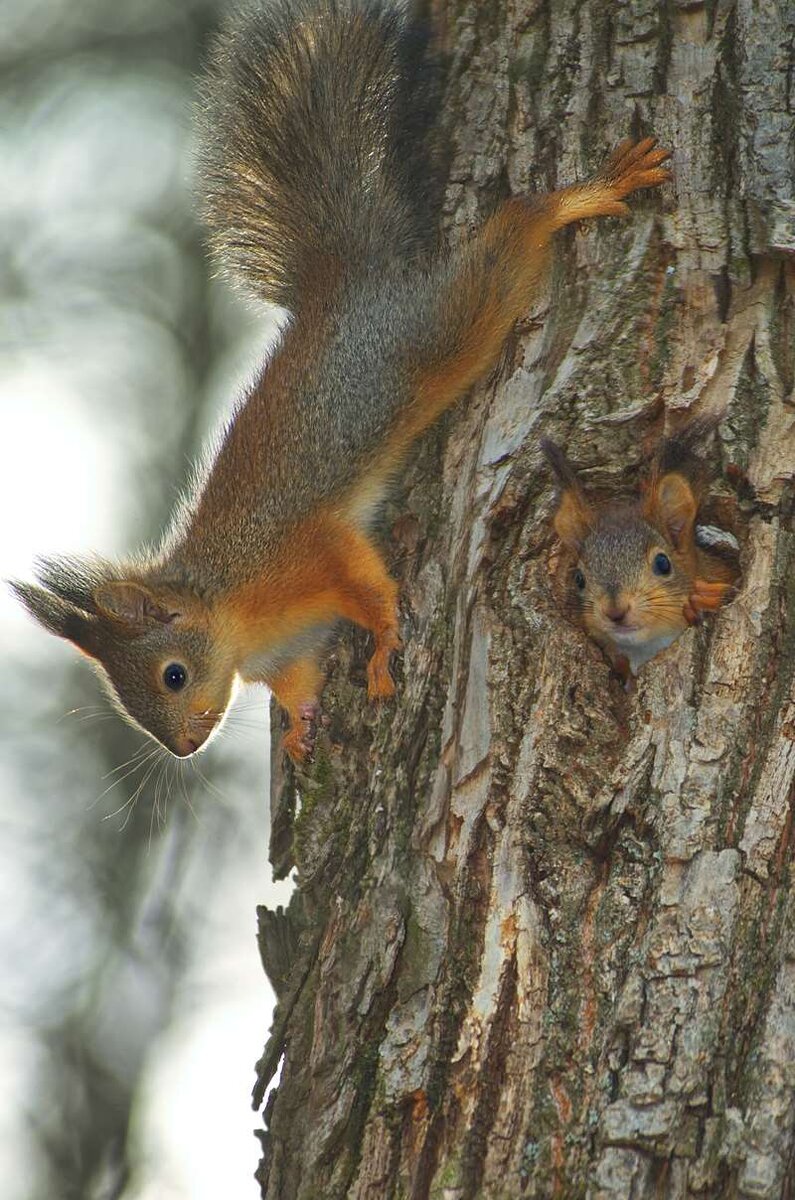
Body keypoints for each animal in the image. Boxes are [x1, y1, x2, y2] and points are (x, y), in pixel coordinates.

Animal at [10, 0, 672, 763]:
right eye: (127, 702)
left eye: (172, 674)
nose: (182, 750)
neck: (236, 610)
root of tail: (338, 277)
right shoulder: (287, 651)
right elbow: (298, 683)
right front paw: (301, 731)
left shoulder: (312, 548)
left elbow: (366, 582)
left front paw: (383, 645)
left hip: (432, 330)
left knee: (510, 238)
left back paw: (582, 196)